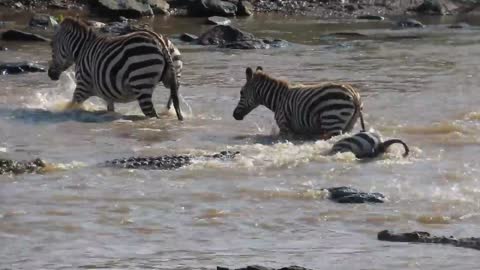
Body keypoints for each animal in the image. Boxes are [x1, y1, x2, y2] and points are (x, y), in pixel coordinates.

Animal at [48, 15, 184, 119]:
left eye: (51, 45)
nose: (50, 74)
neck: (82, 50)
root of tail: (161, 42)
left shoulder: (83, 86)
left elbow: (71, 105)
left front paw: (65, 113)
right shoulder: (108, 94)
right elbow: (110, 110)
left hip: (141, 81)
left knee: (151, 114)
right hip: (173, 77)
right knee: (172, 100)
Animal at [232, 66, 364, 139]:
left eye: (241, 93)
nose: (235, 115)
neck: (279, 99)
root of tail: (353, 94)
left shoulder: (284, 126)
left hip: (332, 120)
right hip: (349, 124)